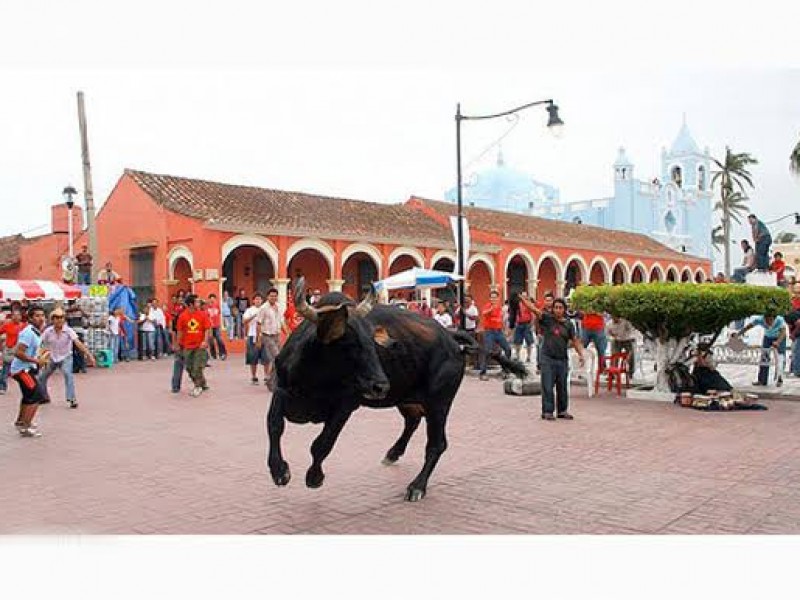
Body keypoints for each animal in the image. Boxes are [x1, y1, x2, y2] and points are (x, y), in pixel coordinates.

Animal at [264, 286, 524, 502]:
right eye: (349, 345)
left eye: (373, 344)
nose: (380, 385)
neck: (312, 378)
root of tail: (450, 337)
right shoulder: (281, 390)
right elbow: (274, 425)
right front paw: (279, 470)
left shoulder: (346, 405)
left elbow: (321, 443)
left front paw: (314, 477)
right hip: (407, 398)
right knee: (412, 421)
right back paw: (393, 453)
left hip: (440, 403)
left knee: (437, 444)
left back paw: (417, 486)